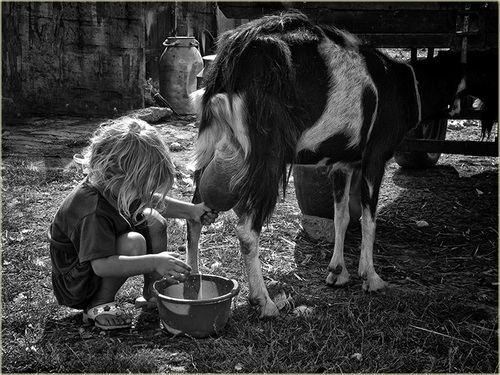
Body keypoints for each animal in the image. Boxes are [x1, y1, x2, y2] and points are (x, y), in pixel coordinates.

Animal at [186, 11, 466, 318]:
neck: (404, 87)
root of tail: (235, 56)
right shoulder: (375, 157)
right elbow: (369, 219)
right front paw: (371, 278)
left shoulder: (343, 164)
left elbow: (341, 217)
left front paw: (338, 272)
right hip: (267, 155)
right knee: (247, 230)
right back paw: (264, 301)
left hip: (213, 146)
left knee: (194, 213)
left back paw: (193, 282)